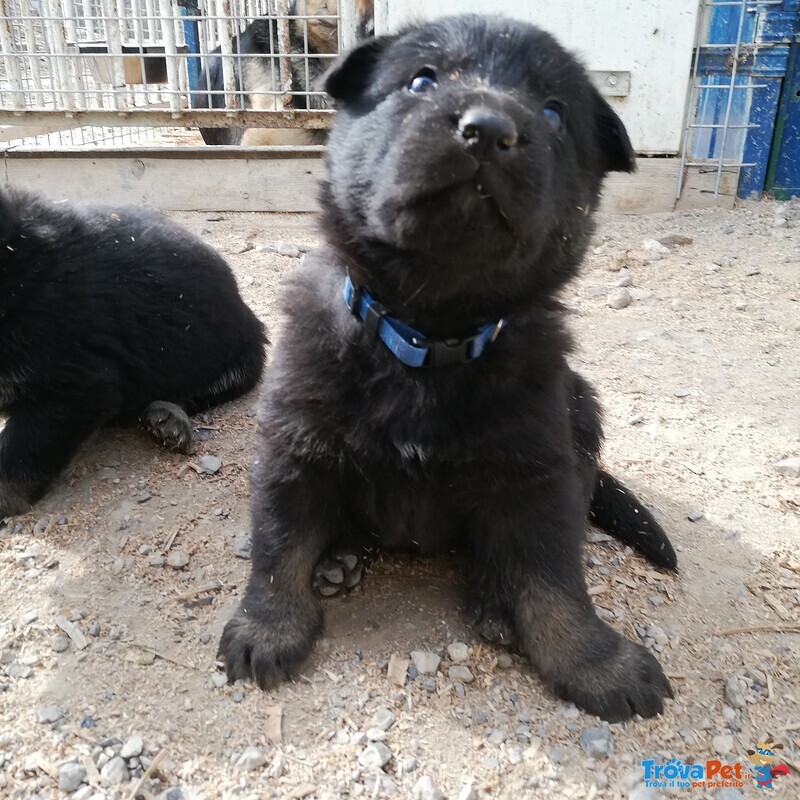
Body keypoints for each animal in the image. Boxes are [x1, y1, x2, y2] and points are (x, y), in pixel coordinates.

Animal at [222, 15, 680, 720]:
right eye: (421, 80)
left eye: (554, 112)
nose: (489, 130)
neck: (429, 338)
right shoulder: (293, 444)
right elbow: (278, 546)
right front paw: (265, 628)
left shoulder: (537, 470)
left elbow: (556, 581)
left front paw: (597, 664)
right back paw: (340, 557)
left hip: (579, 414)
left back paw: (494, 600)